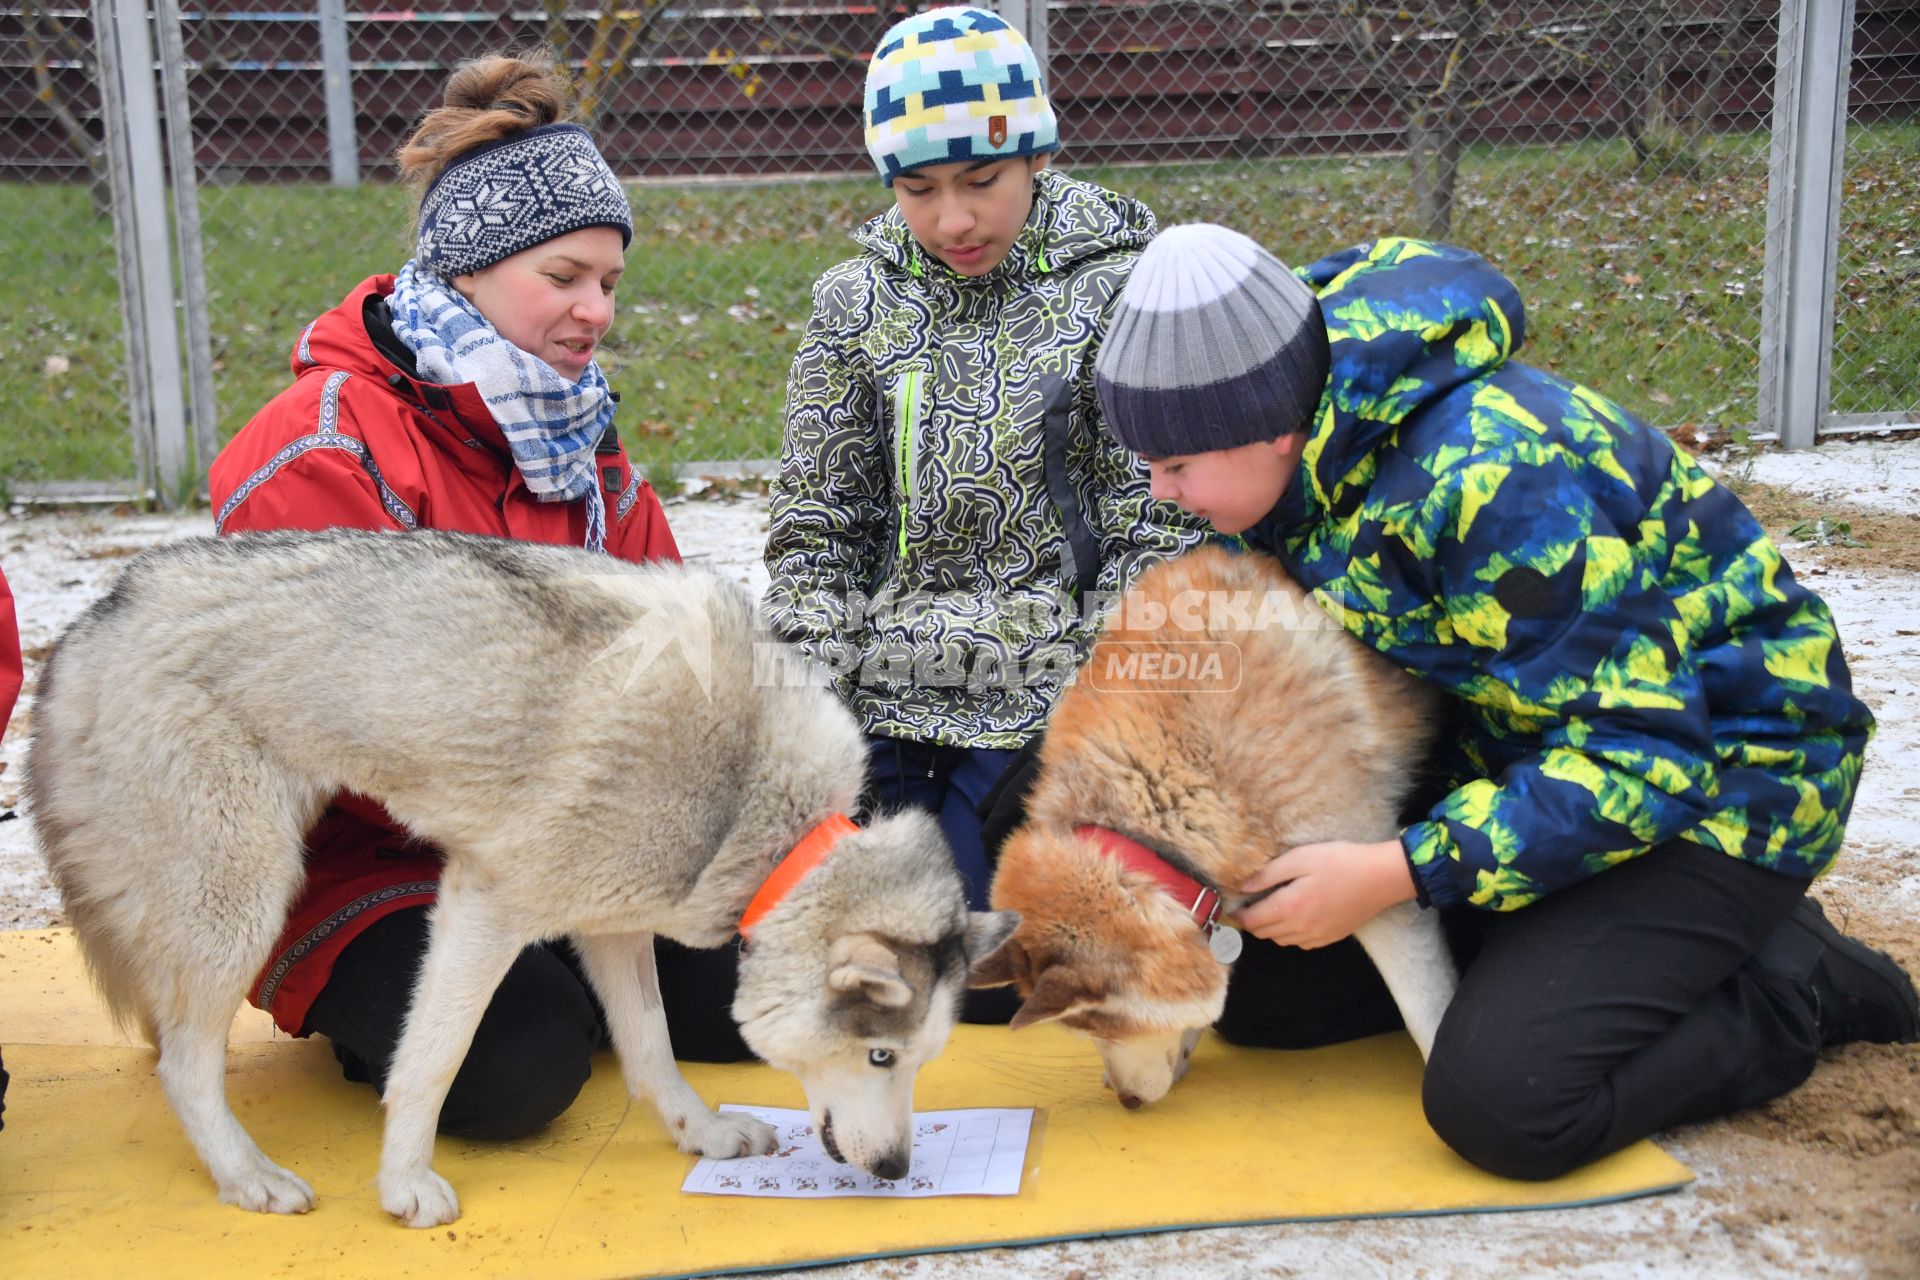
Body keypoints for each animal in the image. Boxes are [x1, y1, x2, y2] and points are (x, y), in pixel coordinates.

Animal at [30, 529, 1021, 1228]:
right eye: (880, 1056)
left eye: (920, 1059)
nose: (897, 1172)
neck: (753, 806)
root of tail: (93, 619)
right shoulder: (484, 906)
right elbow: (431, 1060)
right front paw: (404, 1186)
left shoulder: (613, 922)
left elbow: (652, 1047)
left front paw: (699, 1135)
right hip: (245, 903)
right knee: (188, 1066)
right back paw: (249, 1178)